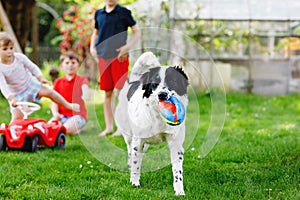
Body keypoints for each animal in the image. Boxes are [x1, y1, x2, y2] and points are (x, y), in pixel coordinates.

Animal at [115, 51, 189, 195]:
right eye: (155, 82)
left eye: (173, 81)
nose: (162, 94)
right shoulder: (138, 140)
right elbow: (135, 162)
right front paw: (134, 182)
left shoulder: (176, 144)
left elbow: (177, 171)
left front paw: (179, 191)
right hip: (129, 135)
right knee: (131, 151)